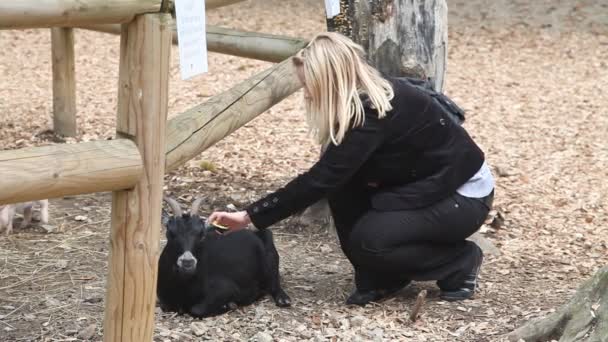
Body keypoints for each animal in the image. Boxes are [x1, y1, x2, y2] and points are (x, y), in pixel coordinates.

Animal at [156, 196, 290, 320]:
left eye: (201, 234)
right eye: (170, 233)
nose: (187, 262)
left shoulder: (227, 289)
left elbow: (197, 310)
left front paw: (228, 305)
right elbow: (166, 306)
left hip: (270, 258)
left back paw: (283, 299)